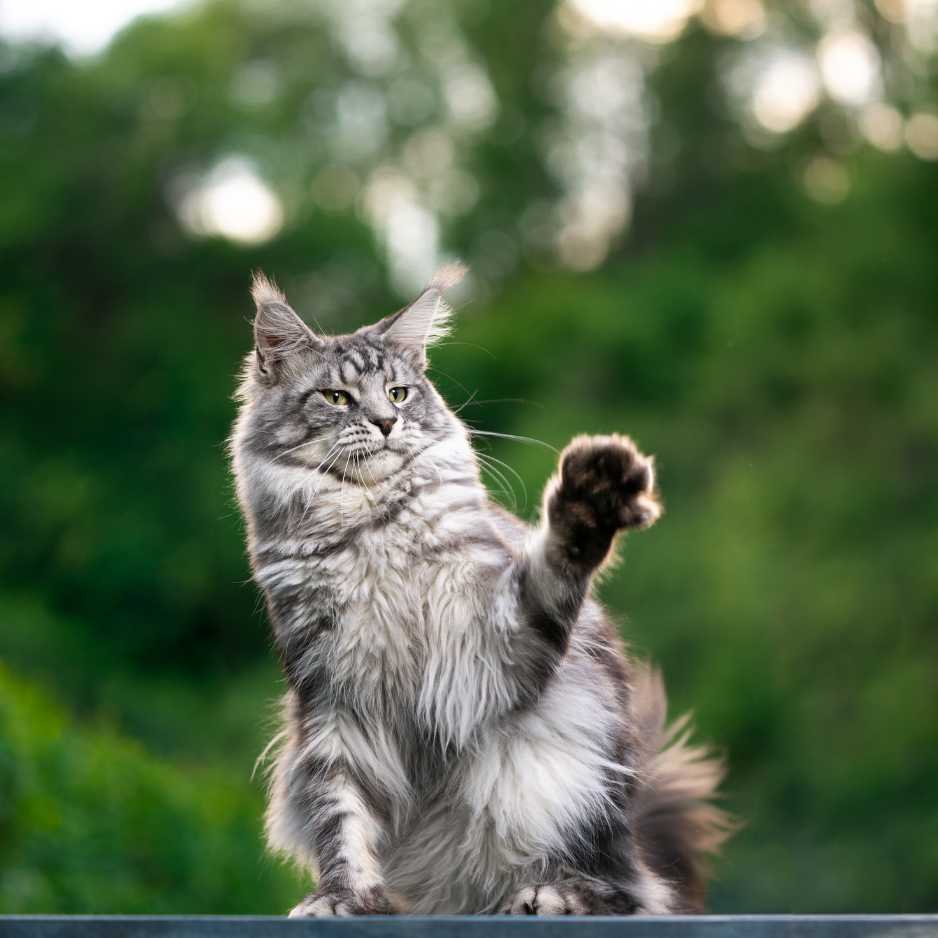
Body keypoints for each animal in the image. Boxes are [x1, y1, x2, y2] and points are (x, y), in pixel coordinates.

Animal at [229, 264, 732, 916]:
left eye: (399, 393)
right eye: (336, 398)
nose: (387, 423)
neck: (370, 527)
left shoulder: (492, 646)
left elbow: (553, 567)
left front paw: (590, 498)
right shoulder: (330, 699)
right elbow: (338, 813)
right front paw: (344, 897)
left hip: (578, 775)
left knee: (624, 889)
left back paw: (552, 893)